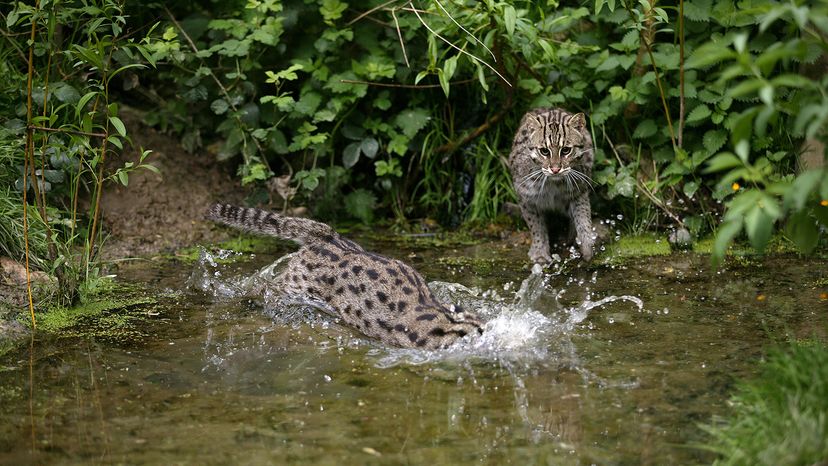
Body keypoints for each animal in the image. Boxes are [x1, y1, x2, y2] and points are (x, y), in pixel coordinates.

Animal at [504, 107, 596, 264]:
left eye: (566, 150)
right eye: (544, 151)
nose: (555, 169)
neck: (553, 182)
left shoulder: (579, 189)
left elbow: (583, 217)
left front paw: (586, 246)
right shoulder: (525, 197)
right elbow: (536, 225)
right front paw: (540, 253)